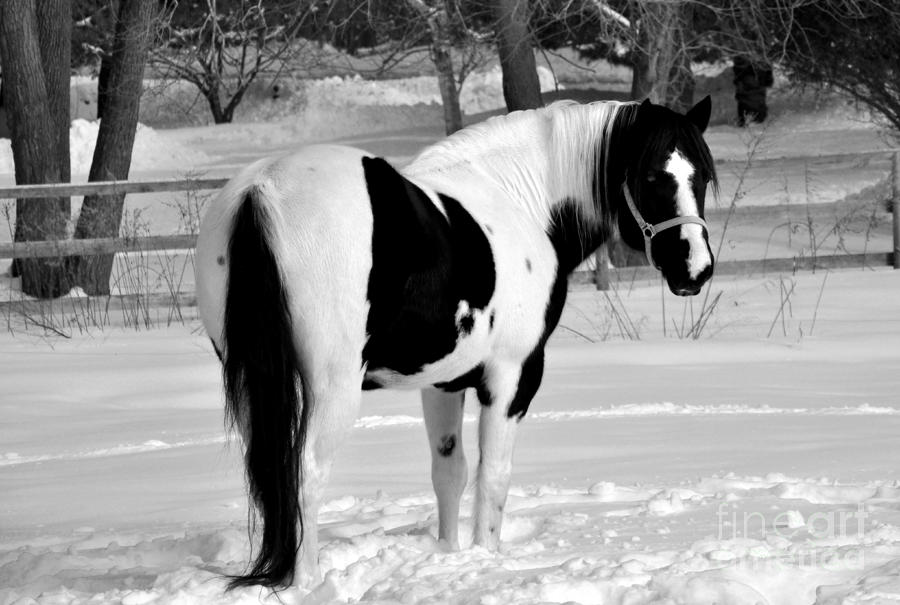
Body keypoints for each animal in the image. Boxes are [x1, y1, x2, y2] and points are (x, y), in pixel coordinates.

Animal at [195, 96, 716, 588]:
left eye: (703, 177)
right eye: (651, 176)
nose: (696, 269)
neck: (519, 202)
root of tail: (263, 192)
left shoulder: (442, 383)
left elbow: (450, 472)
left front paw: (449, 554)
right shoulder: (513, 375)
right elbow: (493, 476)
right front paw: (486, 558)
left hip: (252, 383)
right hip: (332, 388)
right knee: (303, 475)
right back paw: (306, 581)